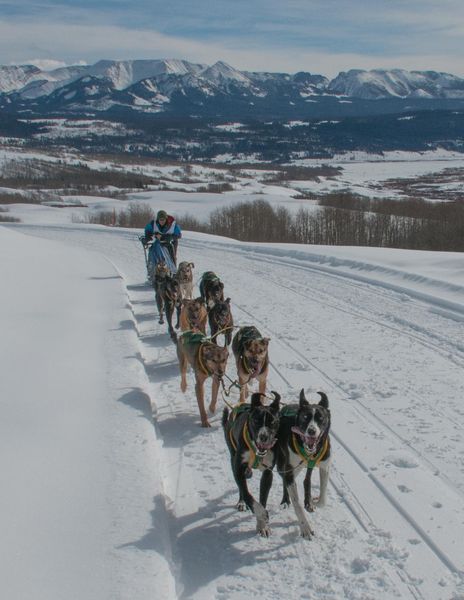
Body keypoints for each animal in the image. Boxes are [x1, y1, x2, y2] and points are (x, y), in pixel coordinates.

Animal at [223, 392, 280, 536]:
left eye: (272, 422)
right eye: (256, 420)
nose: (264, 437)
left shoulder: (267, 472)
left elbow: (263, 498)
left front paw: (262, 526)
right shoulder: (238, 468)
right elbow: (247, 493)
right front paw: (260, 513)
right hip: (232, 455)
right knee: (242, 488)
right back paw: (241, 502)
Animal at [276, 390, 330, 540]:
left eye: (321, 418)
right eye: (305, 417)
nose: (312, 431)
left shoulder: (325, 466)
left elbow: (323, 499)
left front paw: (313, 501)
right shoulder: (289, 471)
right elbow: (297, 504)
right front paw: (305, 528)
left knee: (307, 479)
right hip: (283, 465)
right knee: (284, 480)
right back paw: (285, 501)